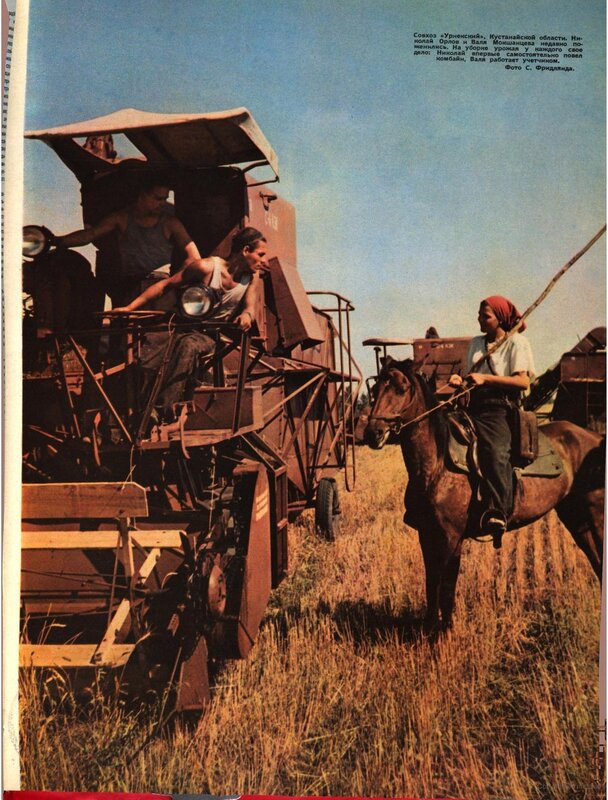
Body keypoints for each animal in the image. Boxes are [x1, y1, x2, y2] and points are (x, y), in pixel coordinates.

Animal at [364, 358, 604, 633]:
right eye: (376, 388)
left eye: (402, 388)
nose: (372, 433)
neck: (437, 464)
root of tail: (595, 437)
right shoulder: (427, 534)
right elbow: (431, 586)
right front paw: (430, 630)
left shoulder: (451, 537)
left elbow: (446, 590)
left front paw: (443, 635)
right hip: (576, 518)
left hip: (595, 515)